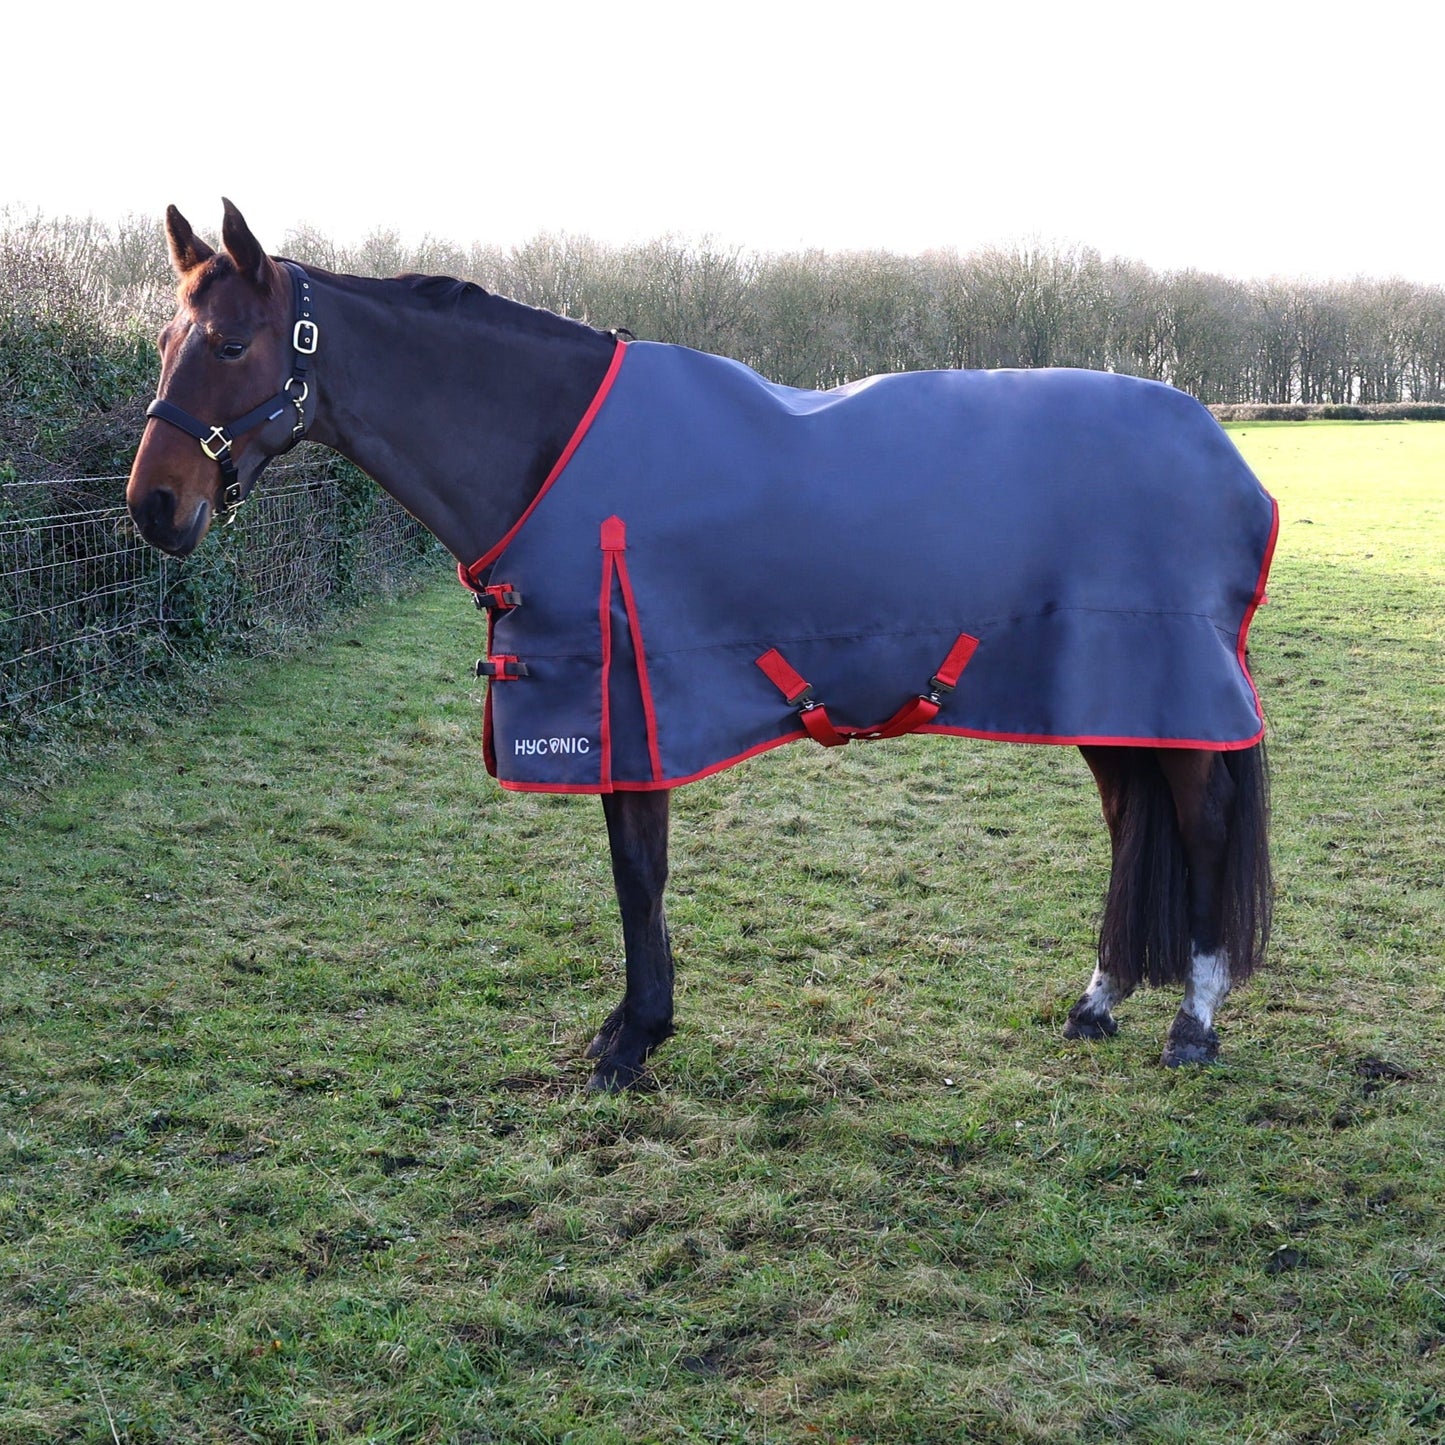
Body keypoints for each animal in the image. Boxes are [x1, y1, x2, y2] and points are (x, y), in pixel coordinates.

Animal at [127, 200, 1275, 1092]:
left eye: (229, 345)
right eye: (164, 345)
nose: (154, 507)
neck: (548, 446)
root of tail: (1220, 450)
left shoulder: (625, 704)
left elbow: (637, 872)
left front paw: (631, 1040)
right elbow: (641, 873)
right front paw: (636, 1026)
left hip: (1167, 685)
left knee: (1201, 825)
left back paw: (1192, 1023)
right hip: (1107, 698)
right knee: (1130, 824)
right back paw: (1098, 1002)